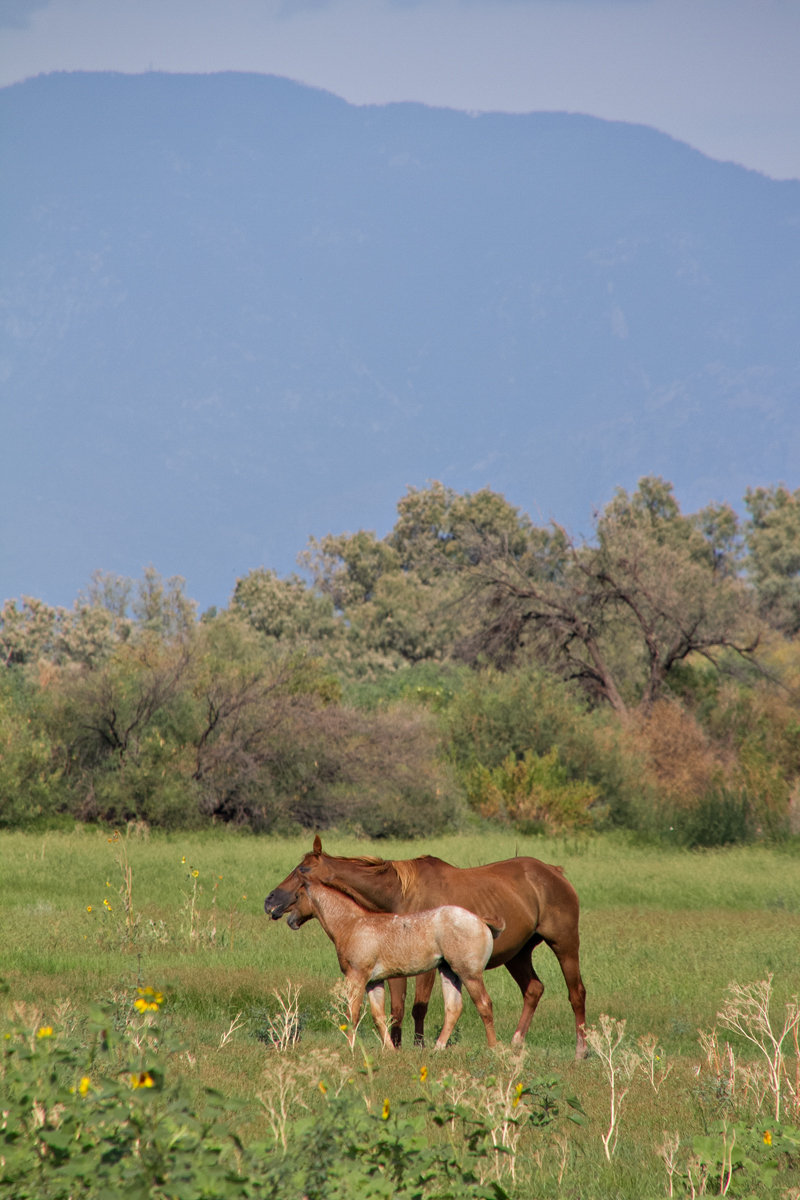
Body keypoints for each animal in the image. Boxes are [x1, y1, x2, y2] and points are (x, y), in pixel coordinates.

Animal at [287, 873, 501, 1051]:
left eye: (297, 895)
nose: (290, 921)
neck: (353, 923)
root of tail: (480, 920)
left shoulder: (356, 977)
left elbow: (352, 1013)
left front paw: (351, 1048)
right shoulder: (374, 982)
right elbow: (379, 1017)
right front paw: (390, 1049)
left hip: (469, 974)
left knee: (484, 1004)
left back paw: (493, 1048)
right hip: (449, 972)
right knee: (453, 1008)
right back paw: (437, 1048)